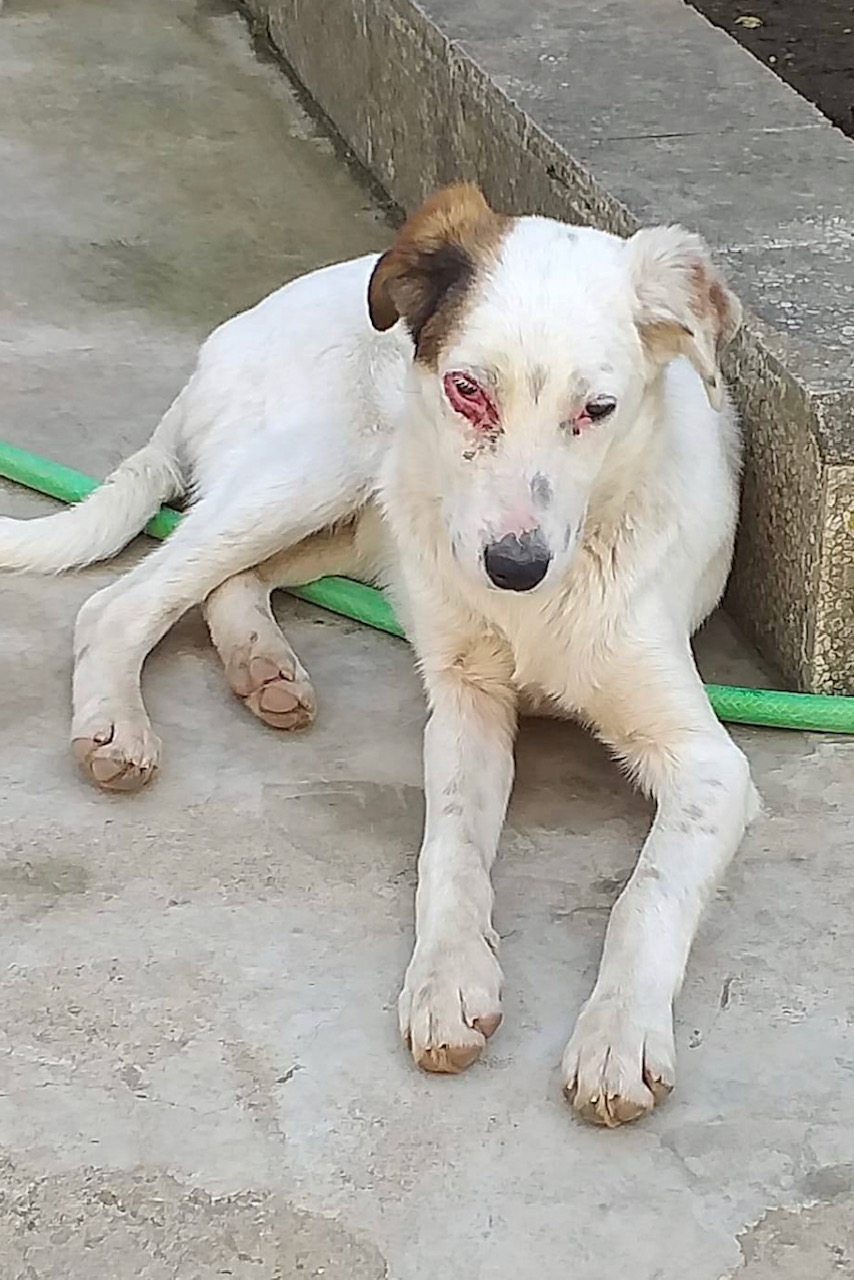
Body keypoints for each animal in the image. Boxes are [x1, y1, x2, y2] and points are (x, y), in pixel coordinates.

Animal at [0, 185, 759, 1126]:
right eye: (467, 389)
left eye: (599, 410)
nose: (513, 568)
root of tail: (225, 339)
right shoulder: (465, 705)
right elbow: (450, 852)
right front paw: (447, 979)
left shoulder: (708, 766)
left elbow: (647, 892)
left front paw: (617, 1033)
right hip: (314, 471)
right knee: (122, 603)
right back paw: (116, 725)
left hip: (358, 522)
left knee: (230, 585)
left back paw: (263, 667)